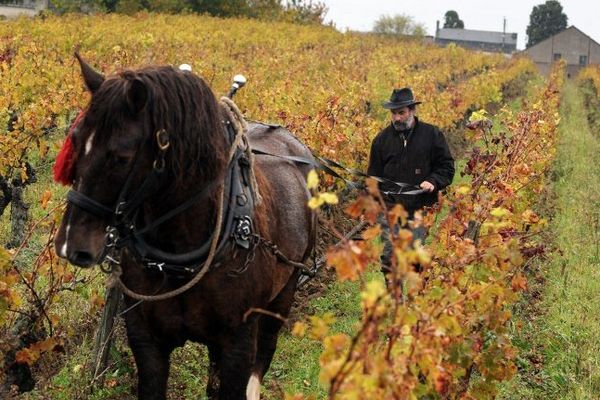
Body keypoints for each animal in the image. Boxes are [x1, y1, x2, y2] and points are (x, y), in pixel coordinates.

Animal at [54, 54, 316, 400]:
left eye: (122, 156)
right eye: (74, 140)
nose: (70, 244)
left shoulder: (238, 345)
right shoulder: (146, 341)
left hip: (283, 294)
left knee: (264, 354)